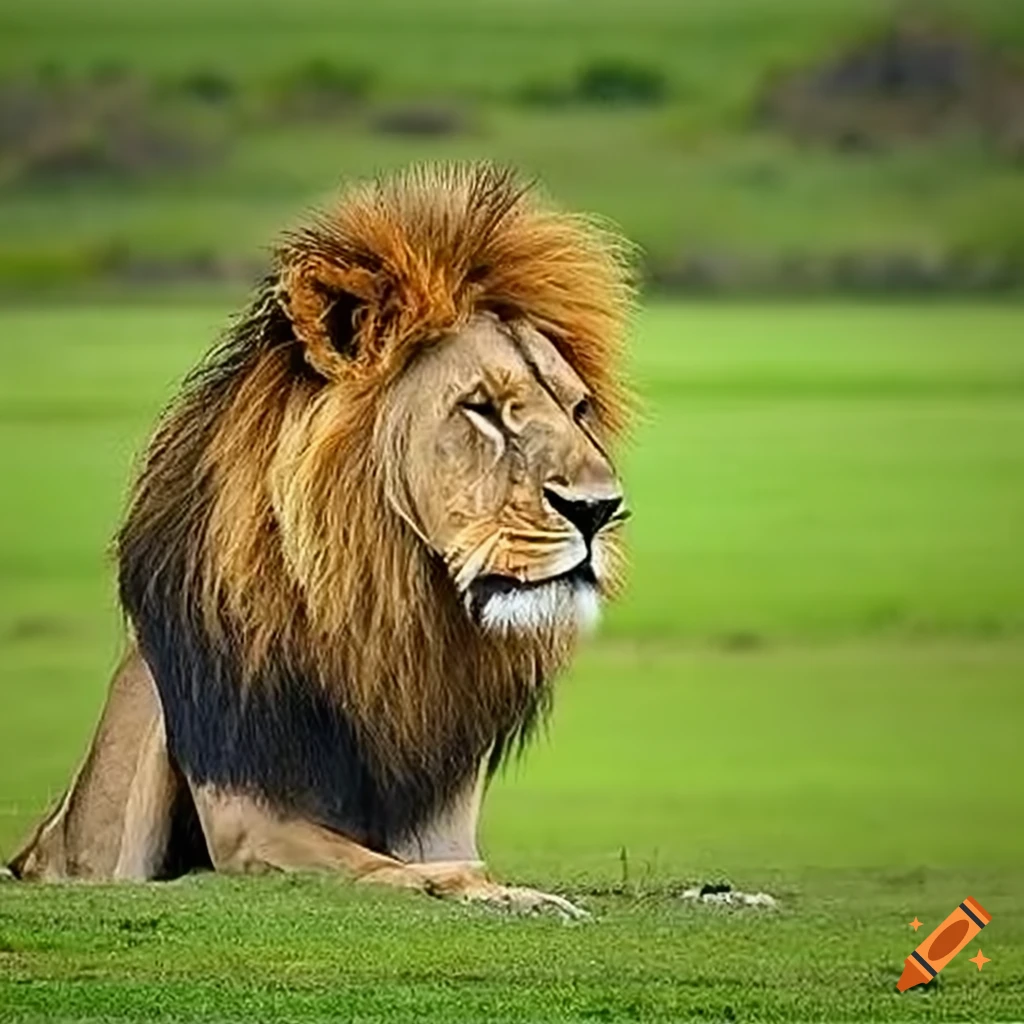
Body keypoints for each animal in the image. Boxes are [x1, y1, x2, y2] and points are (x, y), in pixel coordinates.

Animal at [6, 163, 632, 916]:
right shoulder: (248, 819)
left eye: (577, 408)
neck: (385, 616)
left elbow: (447, 860)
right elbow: (408, 870)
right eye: (480, 408)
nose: (600, 510)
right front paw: (523, 898)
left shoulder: (442, 810)